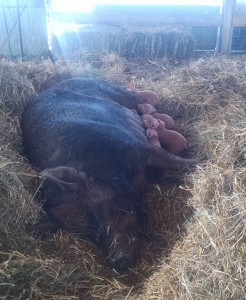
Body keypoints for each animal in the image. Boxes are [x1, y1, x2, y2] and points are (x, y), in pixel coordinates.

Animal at [21, 78, 196, 274]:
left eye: (98, 212)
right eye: (88, 235)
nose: (118, 264)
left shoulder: (136, 149)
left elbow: (173, 161)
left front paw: (198, 163)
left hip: (117, 92)